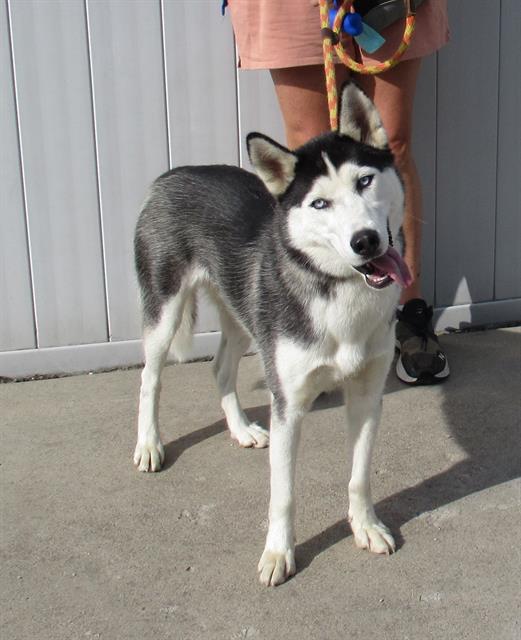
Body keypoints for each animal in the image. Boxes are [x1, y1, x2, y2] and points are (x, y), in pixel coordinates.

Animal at [133, 84, 410, 584]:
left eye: (364, 181)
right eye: (319, 203)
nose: (365, 241)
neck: (339, 290)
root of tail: (173, 173)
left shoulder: (366, 395)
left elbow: (359, 476)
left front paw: (366, 526)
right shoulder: (289, 406)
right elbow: (283, 494)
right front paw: (279, 553)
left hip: (245, 316)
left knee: (220, 369)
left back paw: (241, 429)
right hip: (165, 313)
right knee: (150, 378)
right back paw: (148, 445)